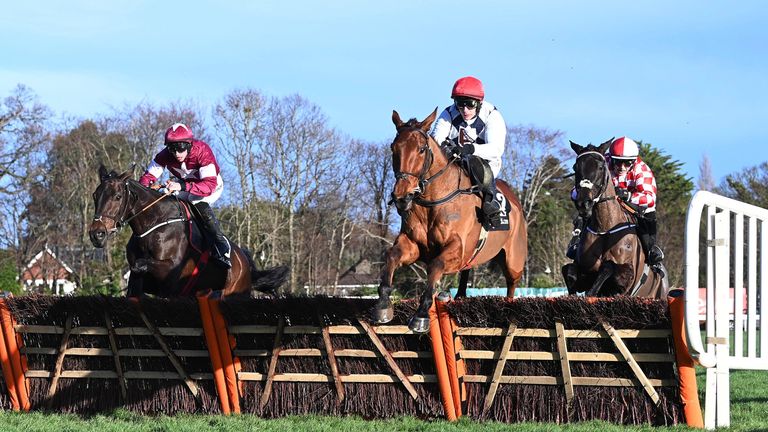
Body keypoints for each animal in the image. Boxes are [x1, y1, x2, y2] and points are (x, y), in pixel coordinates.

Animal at [89, 167, 288, 298]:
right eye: (95, 195)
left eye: (117, 197)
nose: (97, 234)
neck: (154, 225)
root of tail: (245, 263)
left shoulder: (170, 273)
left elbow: (140, 264)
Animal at [372, 109, 528, 332]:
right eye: (394, 148)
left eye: (421, 149)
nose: (402, 196)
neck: (432, 202)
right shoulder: (413, 245)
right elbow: (391, 255)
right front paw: (383, 304)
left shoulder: (457, 251)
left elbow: (435, 266)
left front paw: (421, 314)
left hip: (513, 260)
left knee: (511, 285)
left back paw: (508, 309)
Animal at [560, 140, 668, 298]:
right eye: (575, 167)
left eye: (600, 167)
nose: (583, 203)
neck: (605, 228)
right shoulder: (583, 270)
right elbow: (568, 270)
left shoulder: (626, 278)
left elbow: (608, 267)